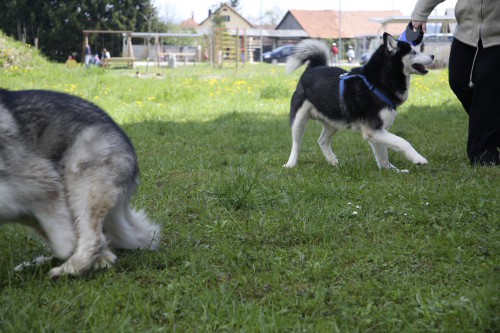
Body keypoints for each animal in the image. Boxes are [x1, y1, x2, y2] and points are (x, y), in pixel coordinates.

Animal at [286, 33, 434, 171]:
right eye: (413, 52)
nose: (432, 55)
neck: (376, 83)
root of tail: (312, 68)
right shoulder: (372, 130)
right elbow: (402, 141)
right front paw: (418, 158)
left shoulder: (379, 131)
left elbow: (383, 154)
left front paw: (391, 170)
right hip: (299, 119)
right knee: (296, 144)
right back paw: (291, 163)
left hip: (334, 121)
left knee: (322, 140)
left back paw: (332, 160)